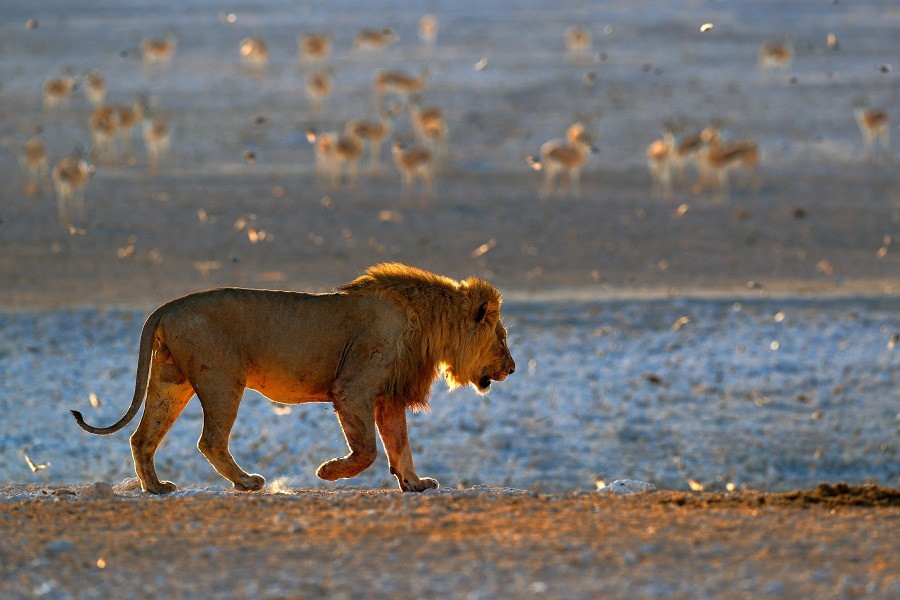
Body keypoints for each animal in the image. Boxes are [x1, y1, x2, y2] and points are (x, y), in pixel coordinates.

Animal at [74, 264, 516, 494]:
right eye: (502, 337)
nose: (512, 368)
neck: (430, 327)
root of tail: (167, 306)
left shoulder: (389, 395)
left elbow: (399, 443)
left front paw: (414, 483)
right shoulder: (353, 387)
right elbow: (368, 450)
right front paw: (328, 472)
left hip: (171, 382)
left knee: (141, 437)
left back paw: (155, 487)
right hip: (222, 381)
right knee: (210, 440)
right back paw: (247, 482)